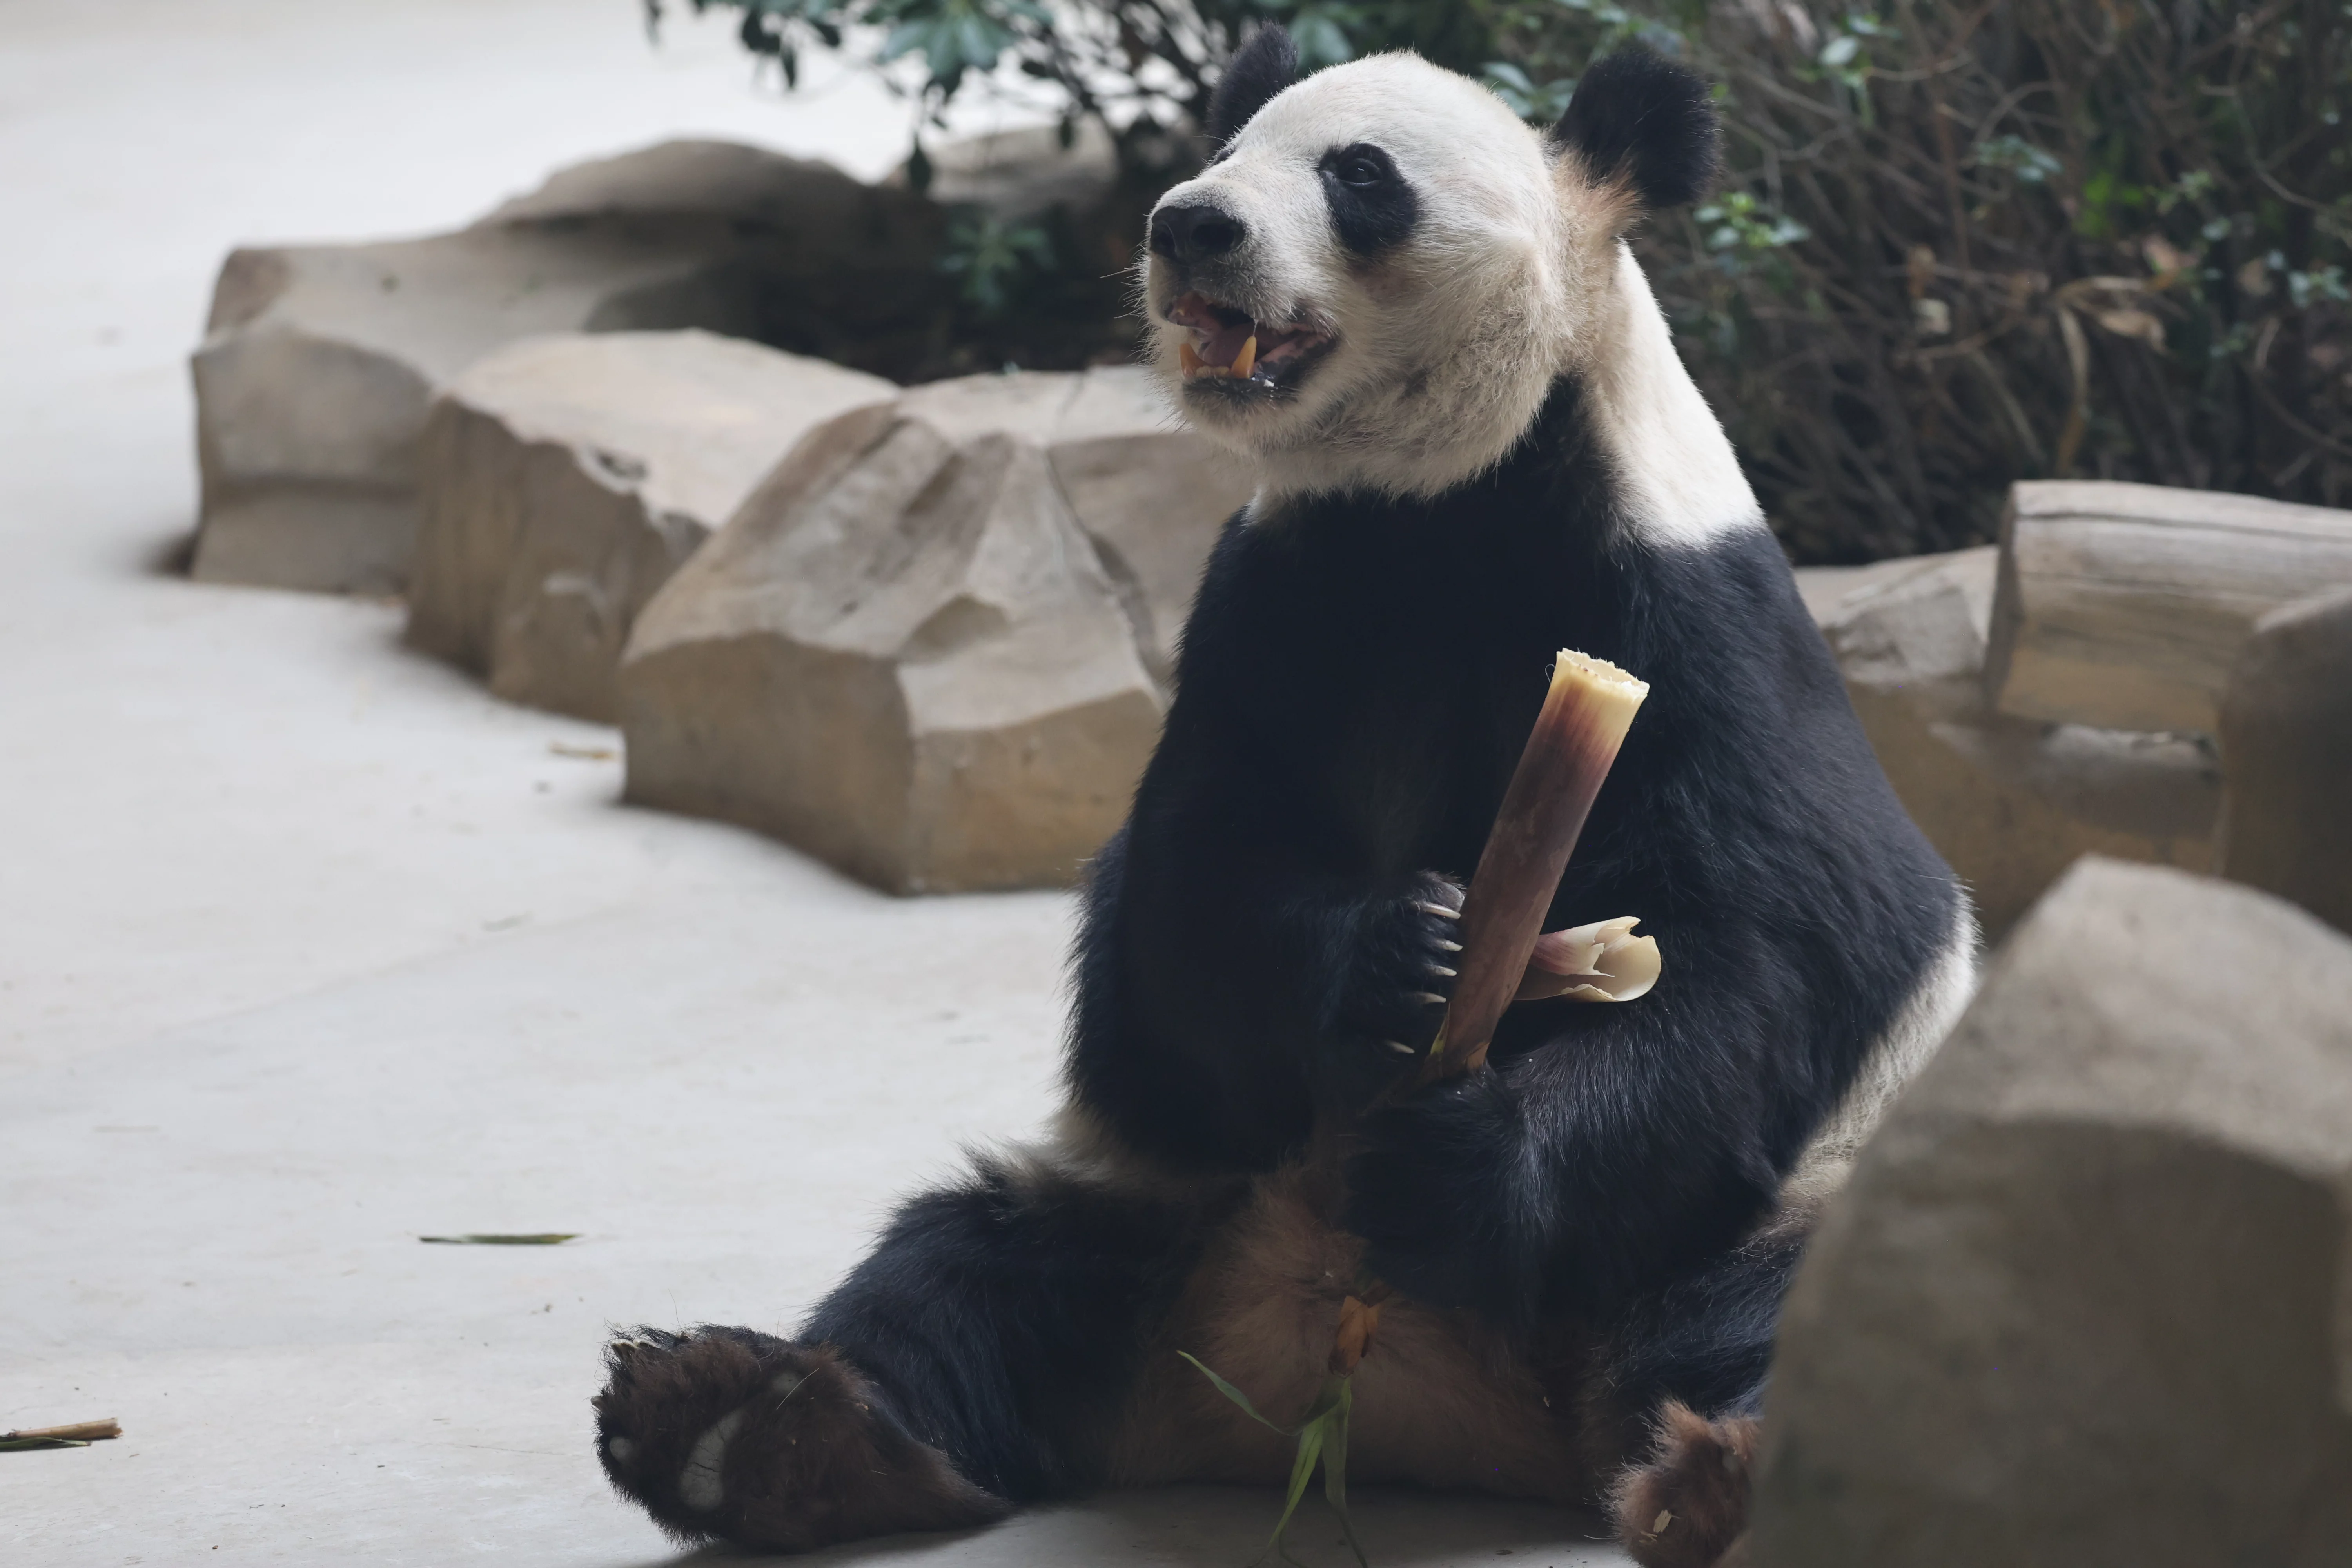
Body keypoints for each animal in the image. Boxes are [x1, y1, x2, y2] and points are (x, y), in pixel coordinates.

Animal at [591, 29, 1977, 1568]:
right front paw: (1398, 953)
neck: (1446, 505)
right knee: (968, 1266)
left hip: (1777, 1218)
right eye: (1227, 150)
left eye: (1359, 175)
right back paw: (761, 1432)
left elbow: (1766, 950)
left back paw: (1732, 1479)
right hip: (1157, 1210)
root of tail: (1406, 1399)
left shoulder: (1688, 622)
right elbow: (1189, 898)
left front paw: (1464, 1154)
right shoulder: (1276, 606)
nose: (1188, 223)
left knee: (1801, 1324)